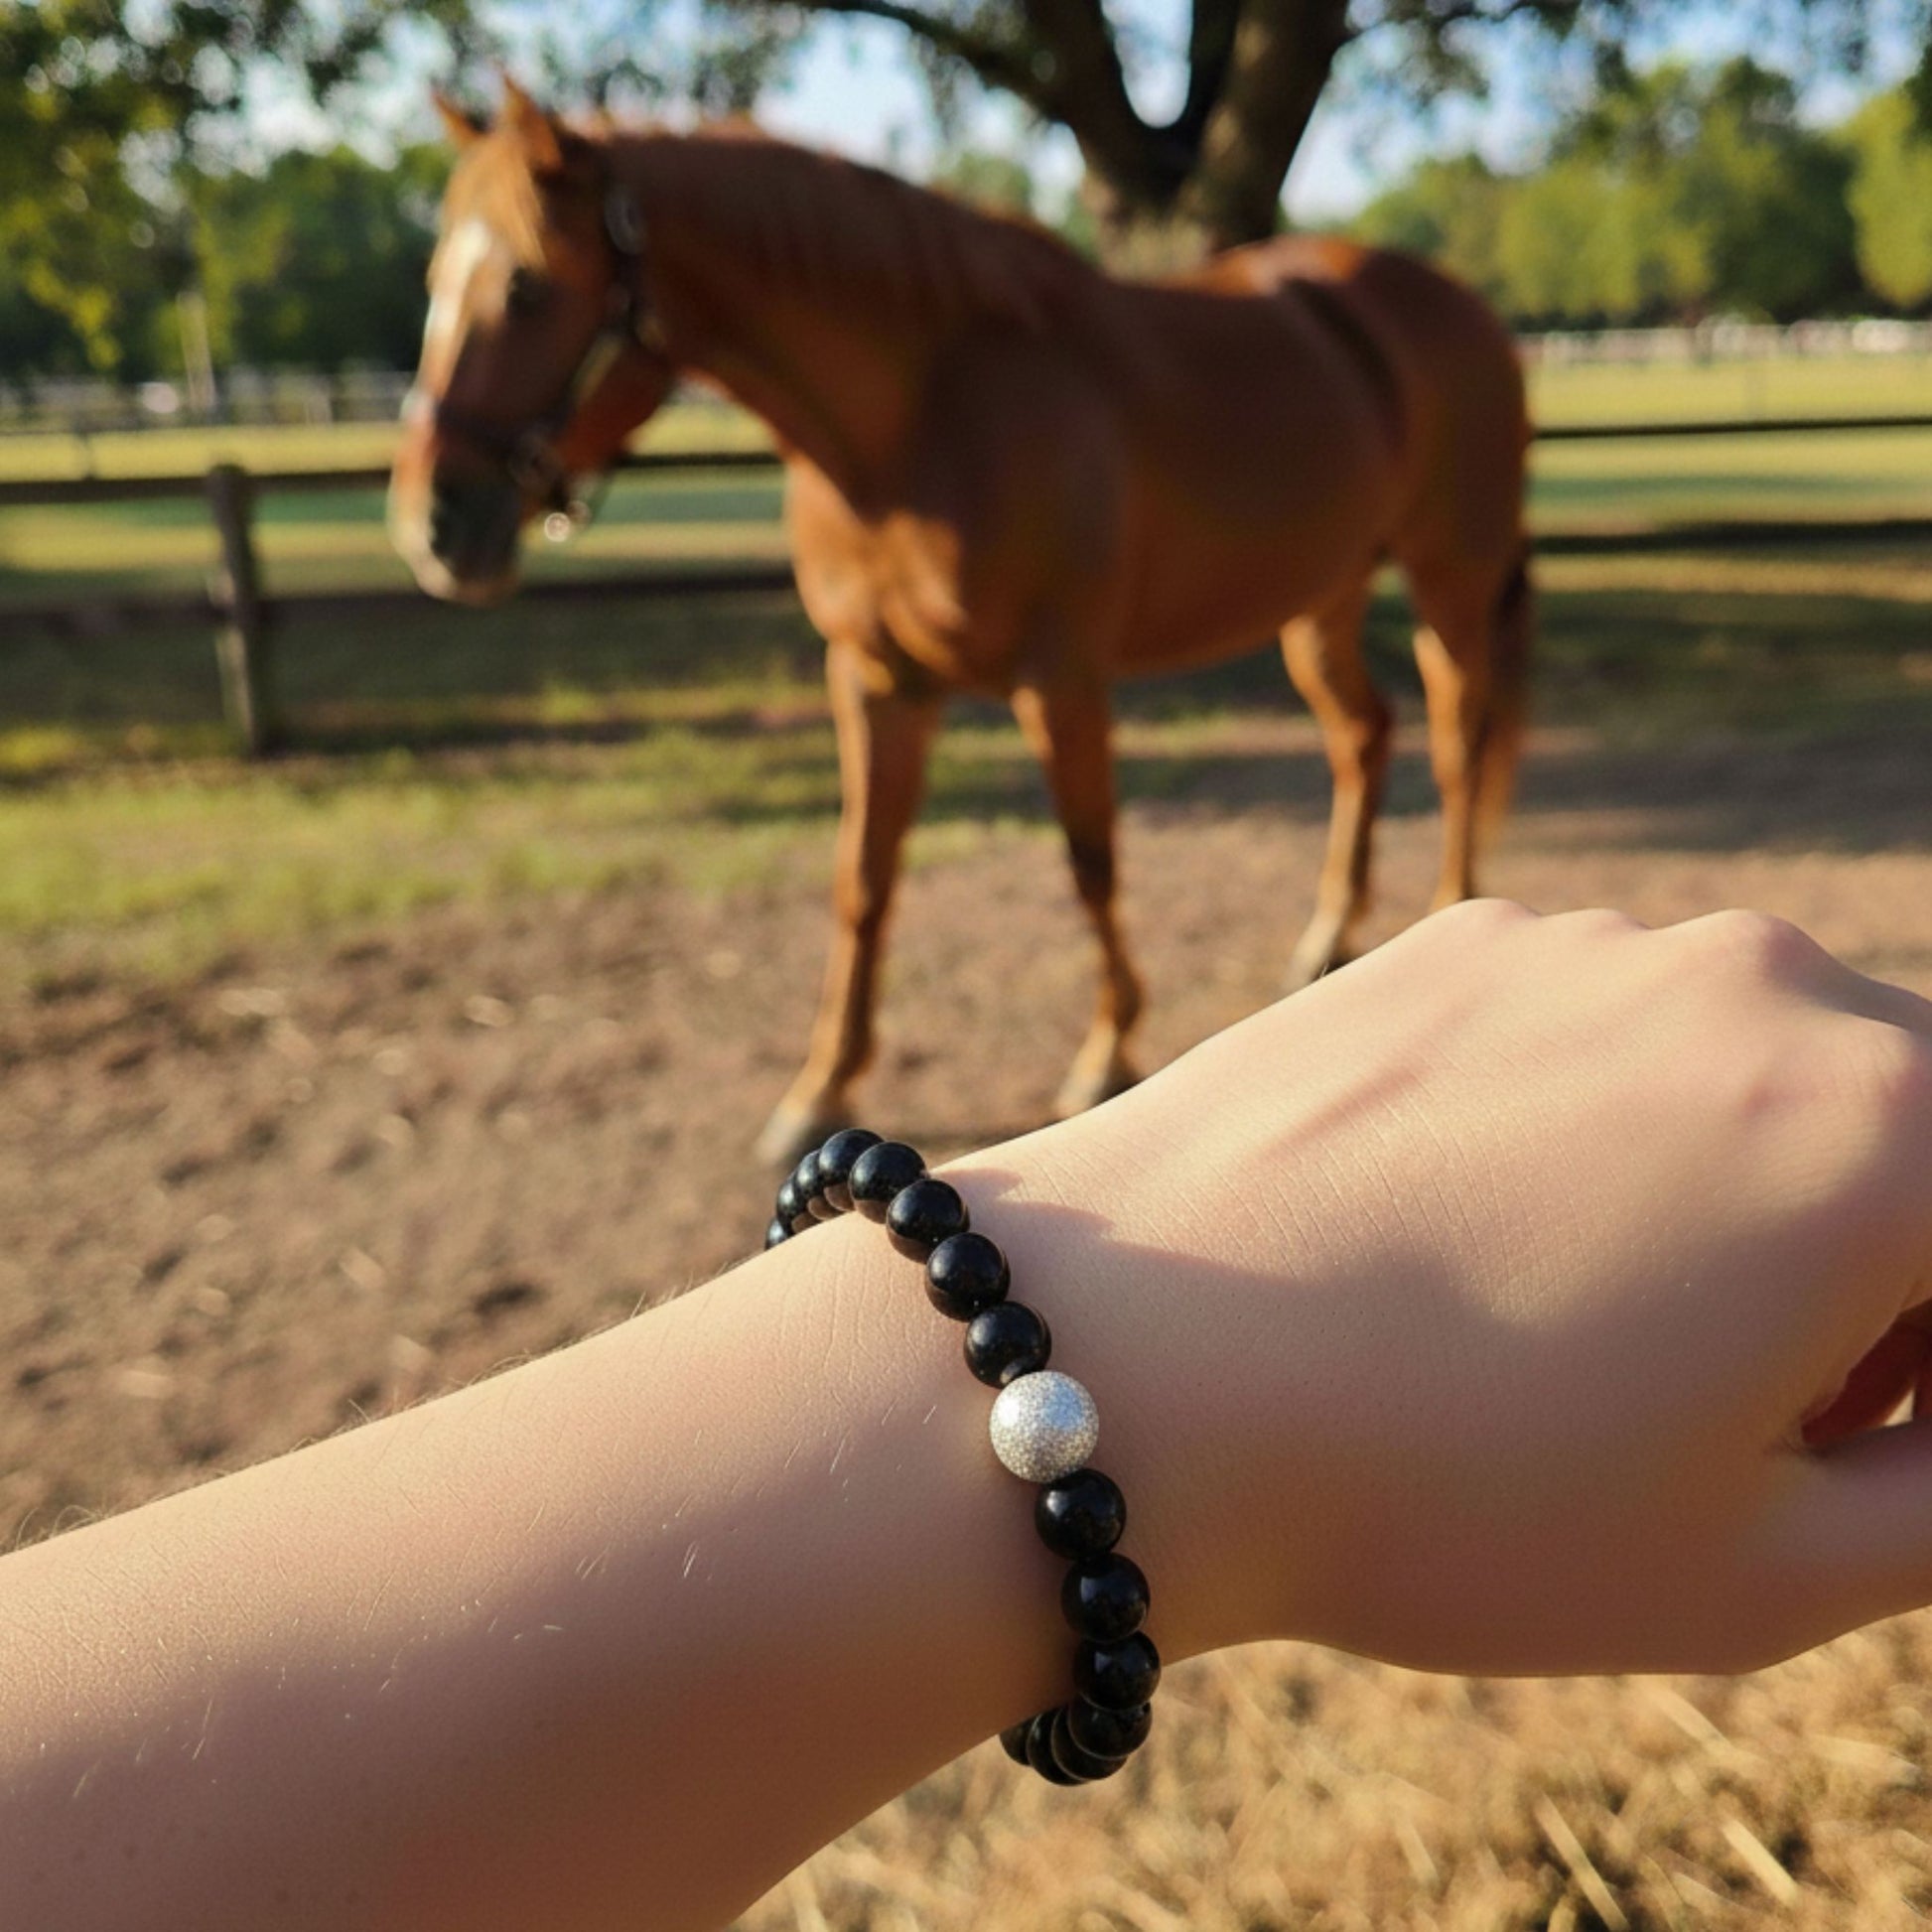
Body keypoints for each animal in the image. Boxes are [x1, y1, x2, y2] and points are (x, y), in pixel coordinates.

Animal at [389, 79, 1534, 1164]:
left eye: (525, 285)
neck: (919, 423)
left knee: (1455, 737)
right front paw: (819, 1087)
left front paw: (1105, 1050)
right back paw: (1327, 938)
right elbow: (863, 876)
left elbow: (1090, 861)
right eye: (433, 280)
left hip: (1448, 580)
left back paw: (1447, 912)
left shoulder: (1059, 681)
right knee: (1363, 735)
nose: (431, 525)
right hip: (1319, 602)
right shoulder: (874, 677)